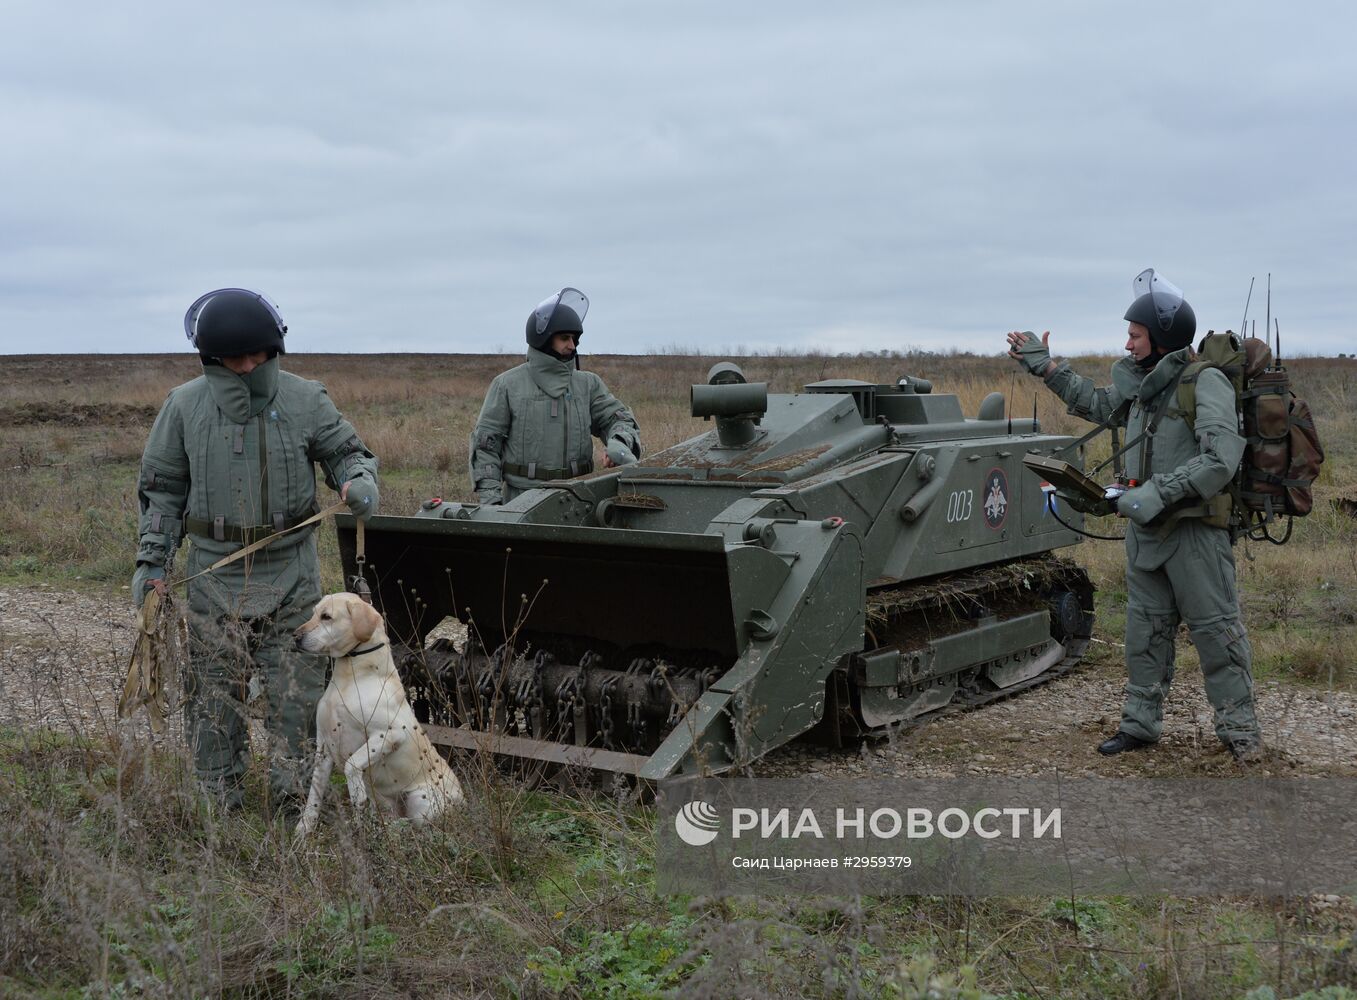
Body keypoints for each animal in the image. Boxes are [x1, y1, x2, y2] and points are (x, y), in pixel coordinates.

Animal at [291, 591, 461, 835]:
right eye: (313, 613)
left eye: (326, 617)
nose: (295, 636)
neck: (351, 677)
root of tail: (463, 799)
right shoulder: (323, 747)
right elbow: (314, 795)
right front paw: (303, 830)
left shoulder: (391, 734)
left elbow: (352, 764)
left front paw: (356, 793)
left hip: (421, 801)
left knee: (416, 826)